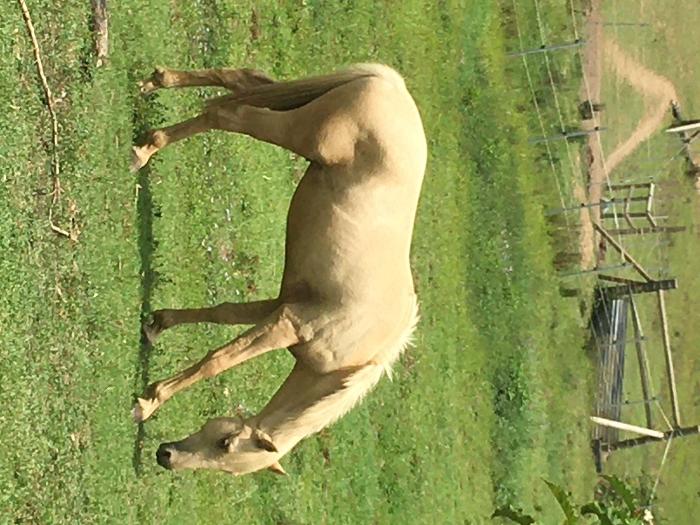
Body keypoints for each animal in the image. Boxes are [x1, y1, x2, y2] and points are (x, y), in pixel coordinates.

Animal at [131, 63, 426, 476]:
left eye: (226, 462)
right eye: (225, 442)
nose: (166, 456)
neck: (356, 354)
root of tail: (389, 83)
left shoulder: (278, 305)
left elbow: (223, 313)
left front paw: (157, 324)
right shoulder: (286, 325)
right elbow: (216, 361)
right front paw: (147, 403)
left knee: (240, 82)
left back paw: (157, 89)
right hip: (299, 130)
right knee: (229, 114)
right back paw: (144, 149)